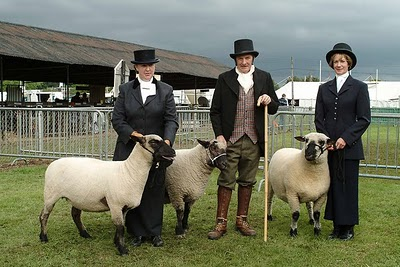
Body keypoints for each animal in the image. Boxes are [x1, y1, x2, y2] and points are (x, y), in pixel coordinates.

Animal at [38, 133, 175, 256]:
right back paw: (44, 237)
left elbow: (120, 226)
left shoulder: (123, 208)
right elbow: (120, 227)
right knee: (44, 216)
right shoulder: (115, 204)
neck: (129, 172)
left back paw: (85, 234)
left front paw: (116, 242)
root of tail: (52, 163)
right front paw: (122, 250)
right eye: (153, 142)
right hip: (50, 194)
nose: (173, 152)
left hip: (77, 197)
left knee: (75, 215)